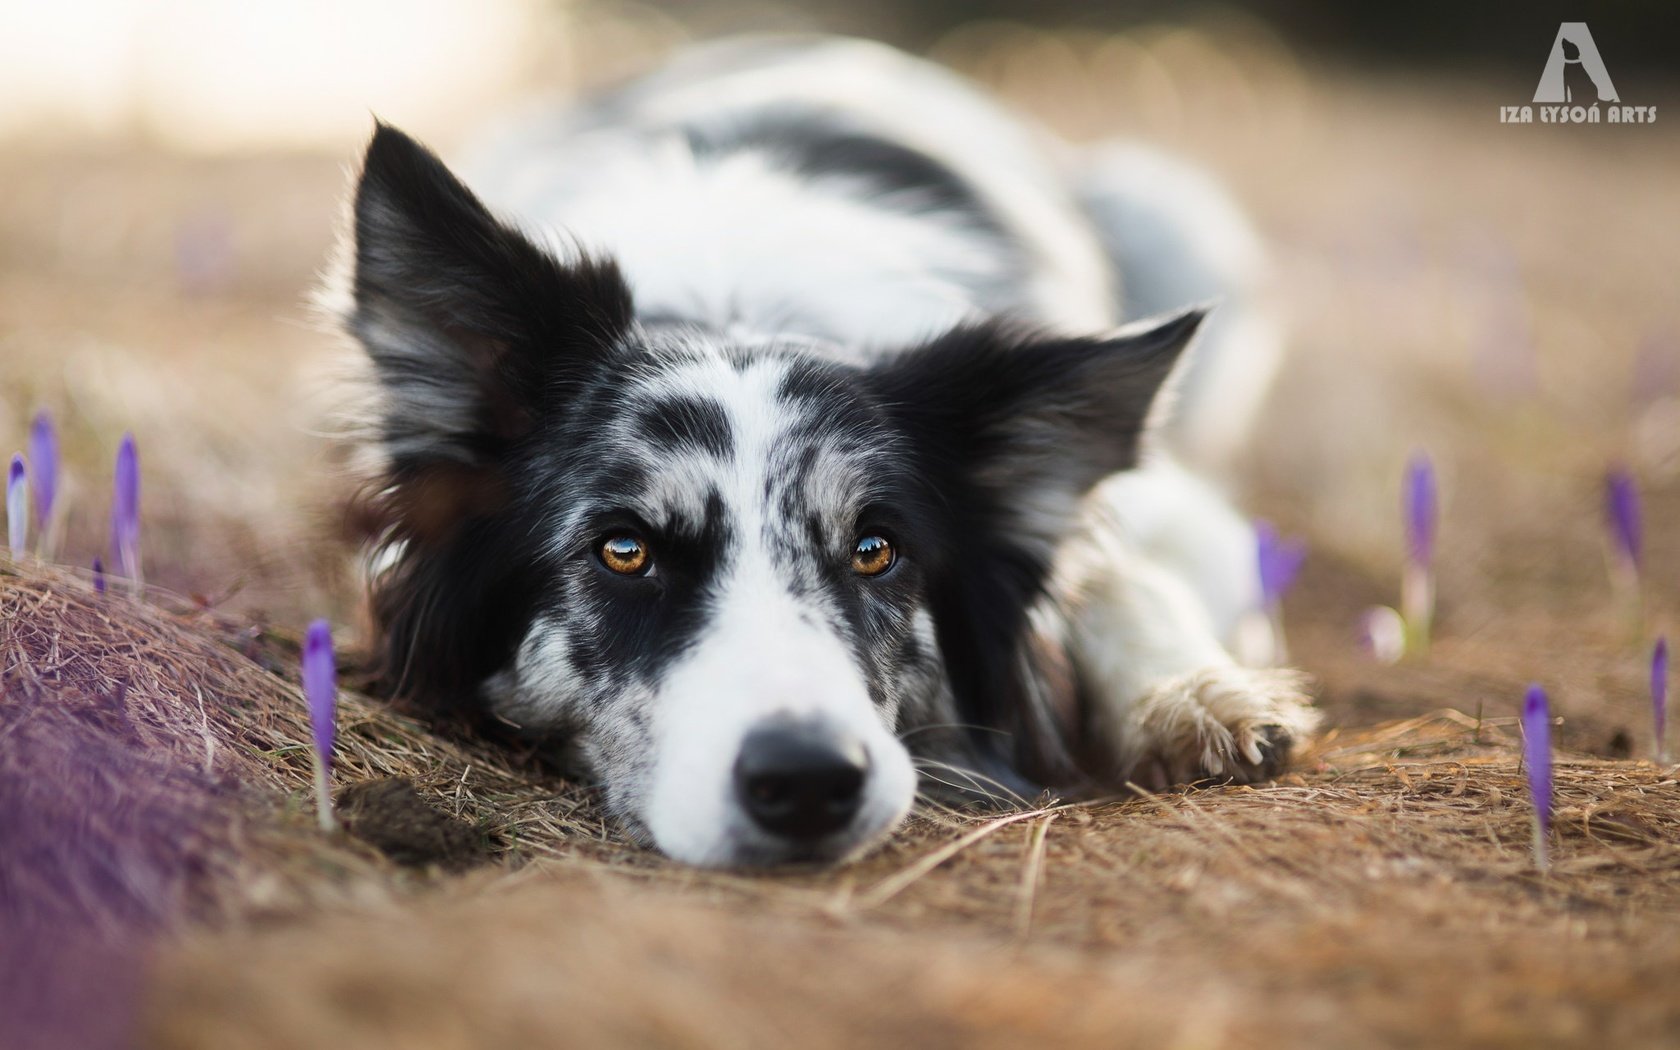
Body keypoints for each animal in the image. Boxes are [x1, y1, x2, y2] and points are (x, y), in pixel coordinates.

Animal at [327, 34, 1317, 866]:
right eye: (625, 550)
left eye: (876, 550)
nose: (807, 783)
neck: (736, 301)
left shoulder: (1182, 516)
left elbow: (1124, 574)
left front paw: (1196, 696)